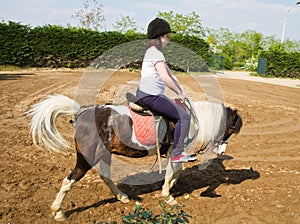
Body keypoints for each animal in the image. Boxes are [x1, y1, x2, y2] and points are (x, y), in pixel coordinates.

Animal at [28, 94, 243, 220]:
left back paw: (122, 197)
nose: (221, 151)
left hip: (104, 154)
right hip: (87, 158)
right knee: (69, 180)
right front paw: (168, 196)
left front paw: (169, 188)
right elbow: (173, 172)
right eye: (231, 127)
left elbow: (177, 172)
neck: (194, 119)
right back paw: (58, 212)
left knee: (105, 176)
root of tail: (81, 114)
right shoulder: (175, 151)